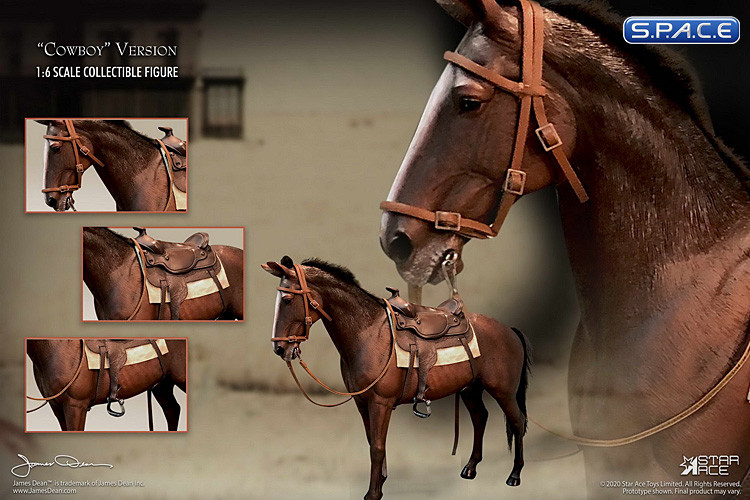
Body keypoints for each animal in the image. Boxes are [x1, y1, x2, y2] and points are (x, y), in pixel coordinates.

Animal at [263, 256, 530, 500]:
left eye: (287, 299)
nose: (279, 348)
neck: (368, 334)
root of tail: (509, 330)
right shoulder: (362, 403)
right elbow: (372, 442)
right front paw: (380, 481)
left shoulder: (380, 403)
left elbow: (377, 447)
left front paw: (373, 493)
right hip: (471, 389)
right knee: (480, 418)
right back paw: (471, 467)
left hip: (503, 391)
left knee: (517, 421)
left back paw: (515, 475)